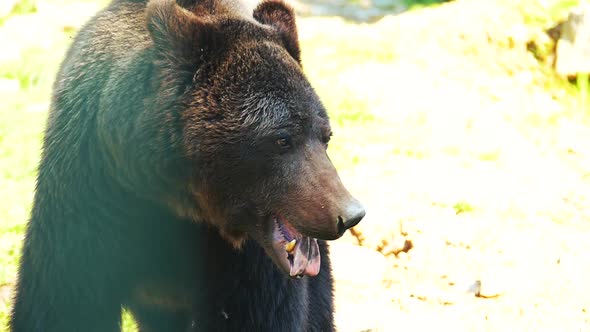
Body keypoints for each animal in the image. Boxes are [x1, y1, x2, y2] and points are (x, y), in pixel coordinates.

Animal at [10, 0, 366, 330]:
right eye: (282, 139)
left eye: (325, 135)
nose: (349, 214)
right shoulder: (90, 192)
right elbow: (65, 301)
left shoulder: (241, 259)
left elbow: (253, 313)